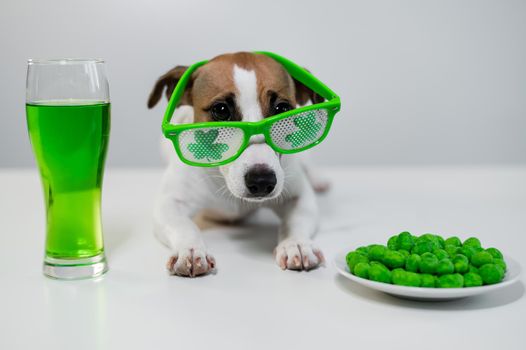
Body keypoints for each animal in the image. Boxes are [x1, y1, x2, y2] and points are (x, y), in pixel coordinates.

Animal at [147, 52, 330, 276]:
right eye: (221, 110)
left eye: (282, 109)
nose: (262, 181)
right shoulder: (169, 203)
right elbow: (183, 225)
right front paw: (190, 249)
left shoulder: (297, 195)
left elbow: (296, 219)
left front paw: (296, 244)